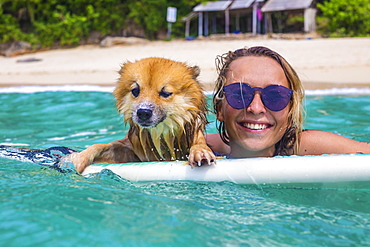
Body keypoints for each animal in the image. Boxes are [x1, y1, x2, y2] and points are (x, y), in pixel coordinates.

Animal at [68, 58, 215, 174]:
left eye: (165, 93)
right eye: (135, 90)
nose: (143, 112)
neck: (160, 136)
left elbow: (199, 144)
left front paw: (199, 152)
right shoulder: (131, 150)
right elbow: (100, 145)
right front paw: (79, 158)